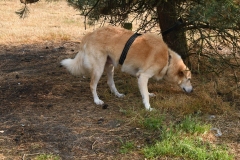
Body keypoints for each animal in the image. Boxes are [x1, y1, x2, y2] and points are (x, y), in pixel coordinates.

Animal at [60, 26, 193, 111]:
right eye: (189, 79)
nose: (192, 91)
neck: (168, 59)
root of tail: (90, 34)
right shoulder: (142, 76)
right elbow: (145, 95)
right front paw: (148, 108)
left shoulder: (141, 77)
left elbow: (145, 92)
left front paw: (148, 94)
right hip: (99, 68)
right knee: (92, 85)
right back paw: (97, 100)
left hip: (110, 66)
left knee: (110, 83)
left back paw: (117, 94)